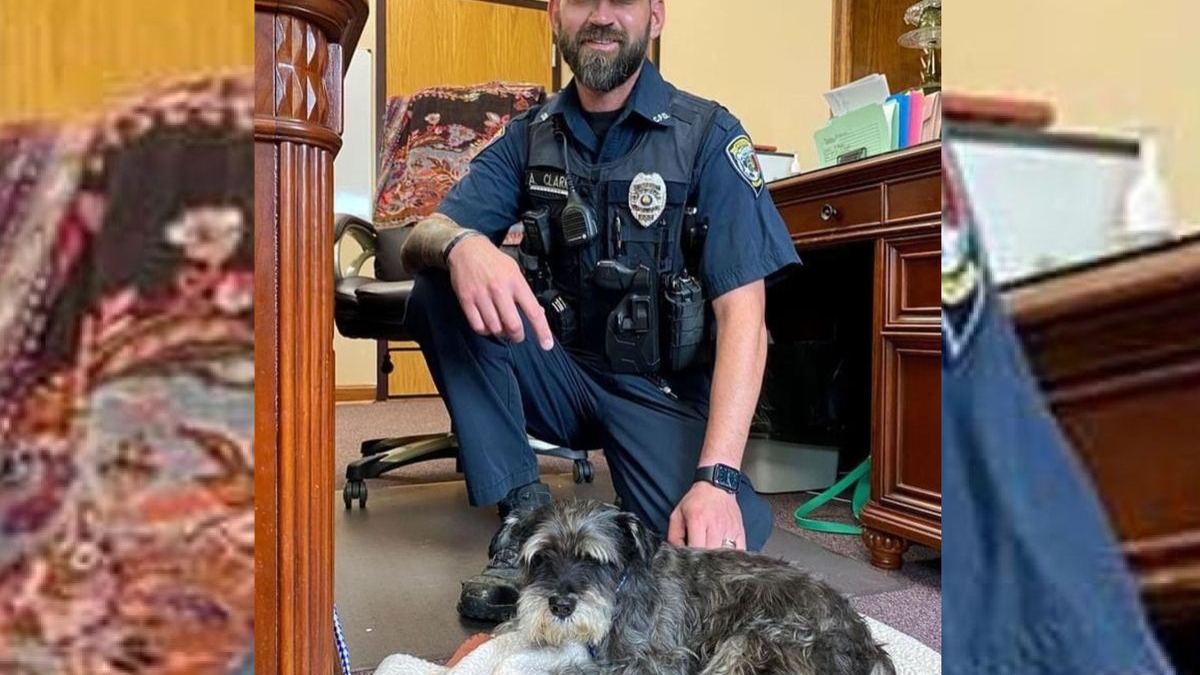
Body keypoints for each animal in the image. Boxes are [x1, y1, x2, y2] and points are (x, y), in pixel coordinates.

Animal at [501, 497, 897, 672]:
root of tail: (867, 645)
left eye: (597, 560)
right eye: (540, 557)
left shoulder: (659, 661)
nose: (560, 605)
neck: (620, 592)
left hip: (747, 646)